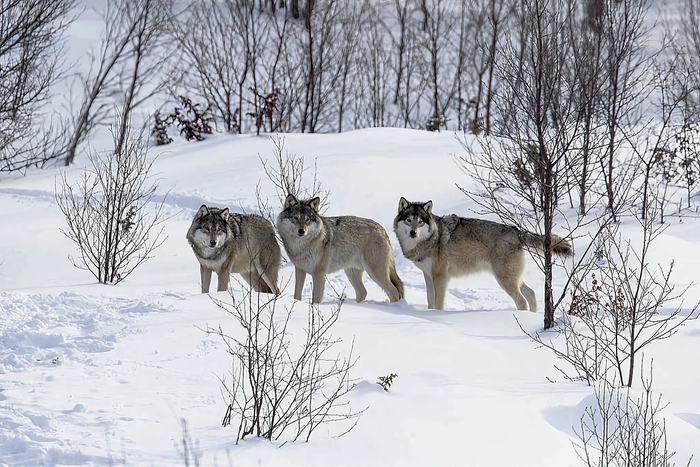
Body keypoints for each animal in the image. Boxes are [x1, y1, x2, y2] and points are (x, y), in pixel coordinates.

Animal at [274, 196, 404, 306]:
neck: (301, 246)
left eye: (308, 219)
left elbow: (316, 298)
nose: (301, 231)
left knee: (394, 292)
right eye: (295, 218)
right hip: (351, 272)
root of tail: (382, 229)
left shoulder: (318, 273)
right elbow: (297, 294)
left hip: (375, 272)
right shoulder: (300, 269)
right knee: (363, 292)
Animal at [394, 197, 568, 310]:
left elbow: (438, 303)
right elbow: (430, 300)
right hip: (512, 278)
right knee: (531, 293)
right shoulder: (428, 276)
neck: (431, 239)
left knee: (522, 301)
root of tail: (517, 231)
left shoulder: (440, 277)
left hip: (504, 280)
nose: (413, 233)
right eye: (408, 220)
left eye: (420, 222)